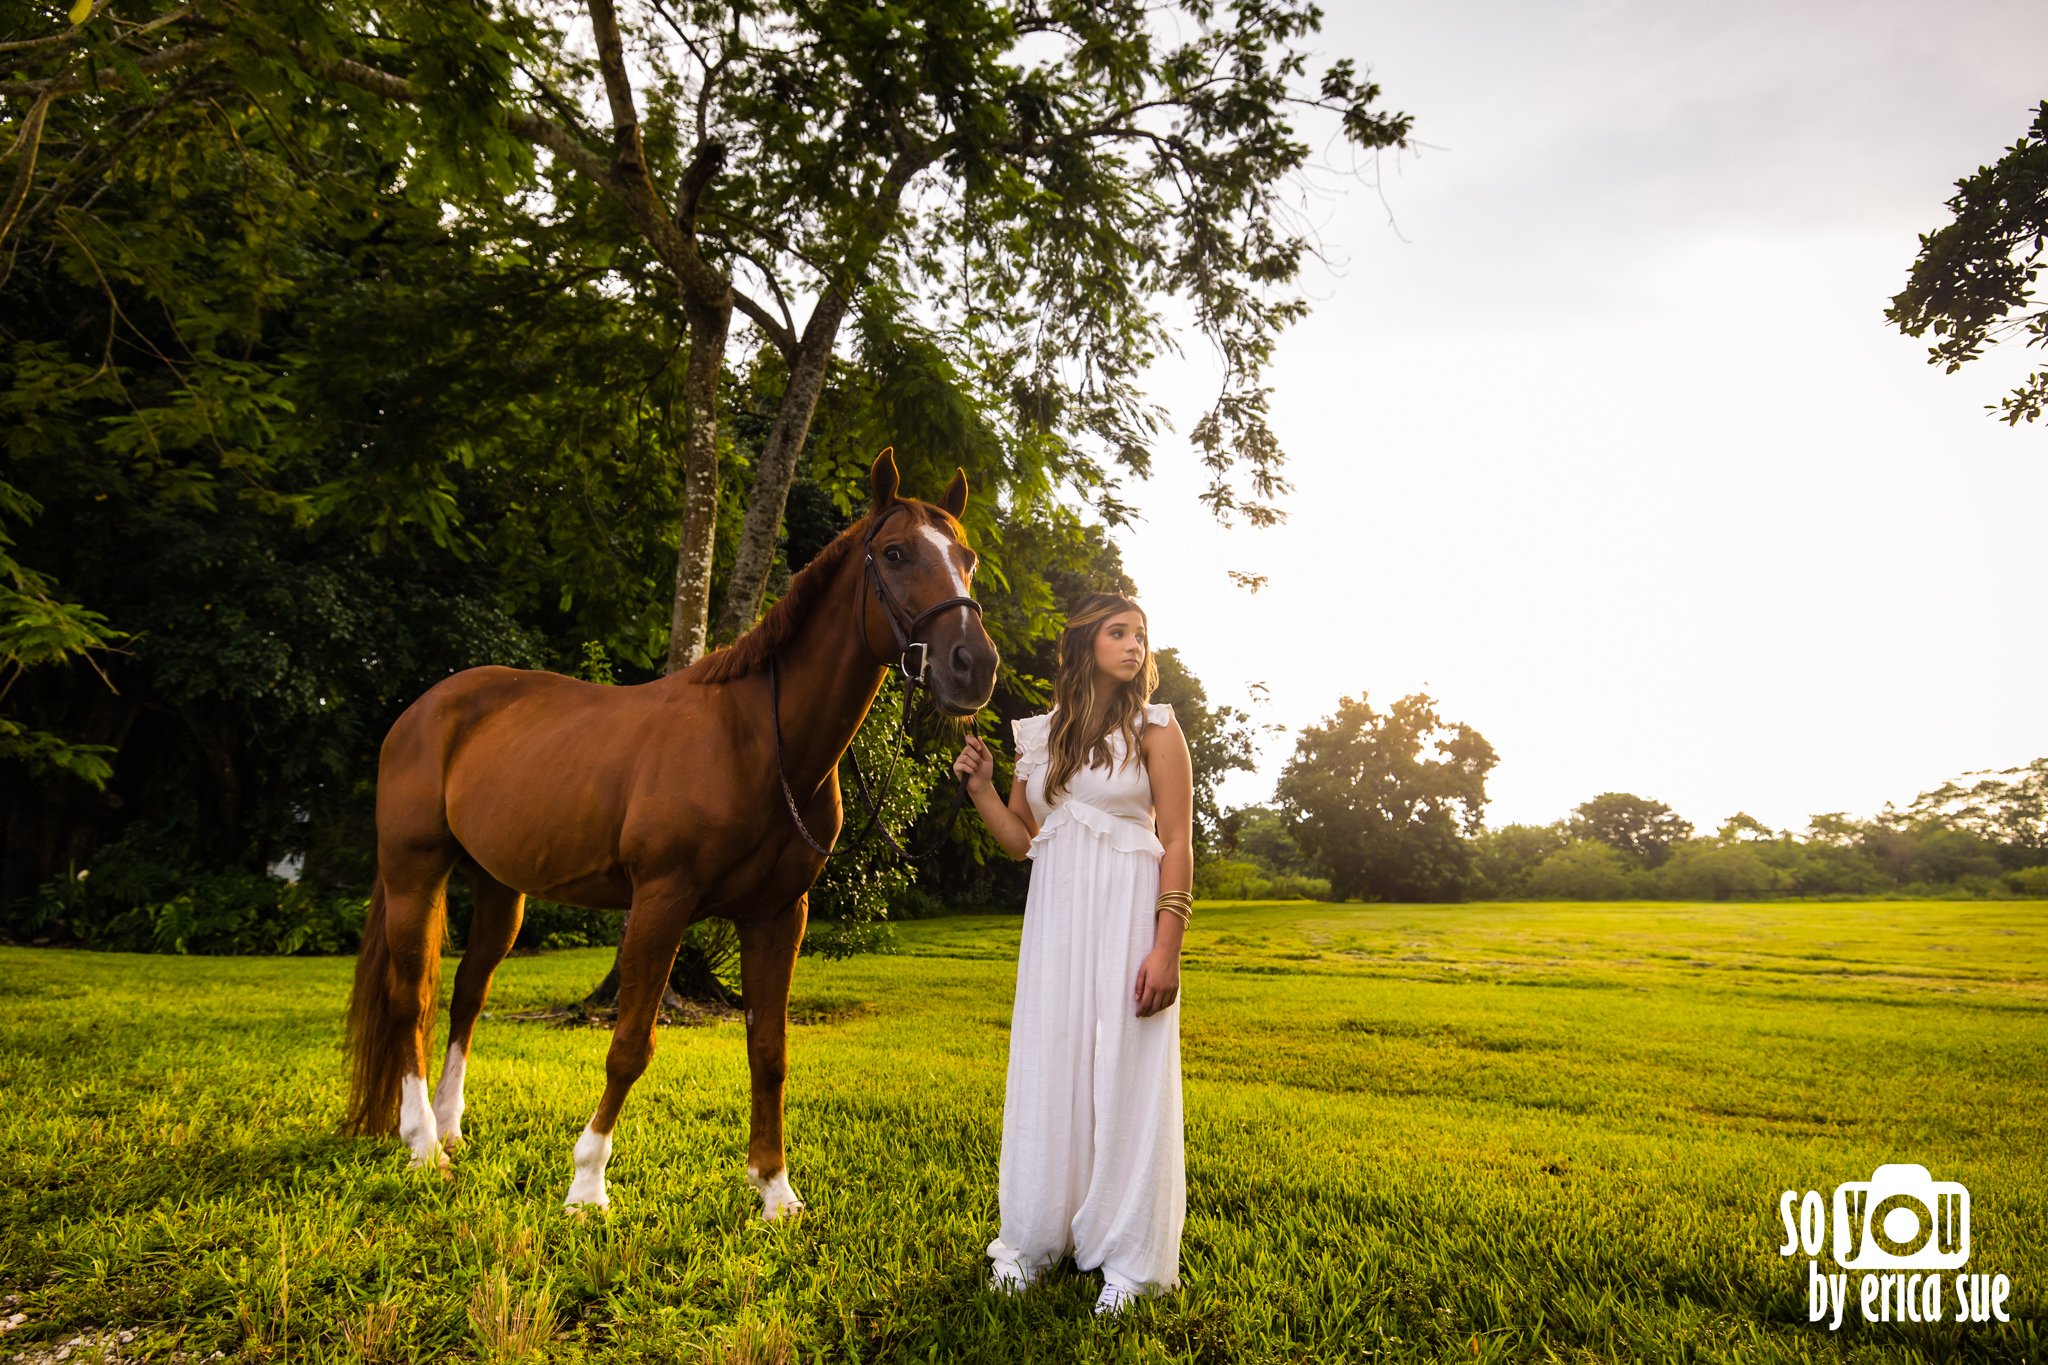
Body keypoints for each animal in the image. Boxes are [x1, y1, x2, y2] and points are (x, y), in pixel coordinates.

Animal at [344, 454, 999, 1219]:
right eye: (895, 554)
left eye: (967, 558)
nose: (973, 666)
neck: (757, 739)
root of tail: (422, 709)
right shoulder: (662, 902)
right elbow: (630, 1044)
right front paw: (587, 1185)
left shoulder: (777, 915)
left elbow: (768, 1050)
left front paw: (774, 1190)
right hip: (414, 872)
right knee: (409, 996)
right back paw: (422, 1145)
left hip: (501, 888)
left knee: (466, 994)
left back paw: (448, 1130)